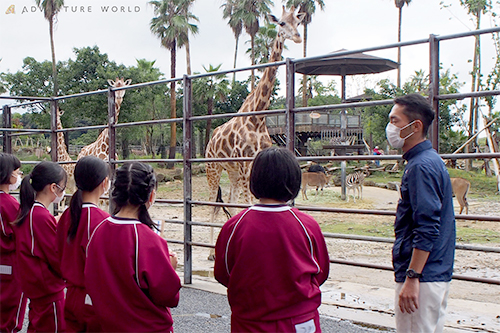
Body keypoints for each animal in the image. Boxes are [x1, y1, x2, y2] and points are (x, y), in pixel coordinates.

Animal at [205, 6, 306, 258]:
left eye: (297, 21)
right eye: (281, 23)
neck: (257, 117)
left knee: (230, 203)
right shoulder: (244, 166)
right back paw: (210, 251)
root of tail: (209, 141)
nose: (298, 37)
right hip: (213, 168)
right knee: (211, 202)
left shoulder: (251, 164)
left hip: (231, 172)